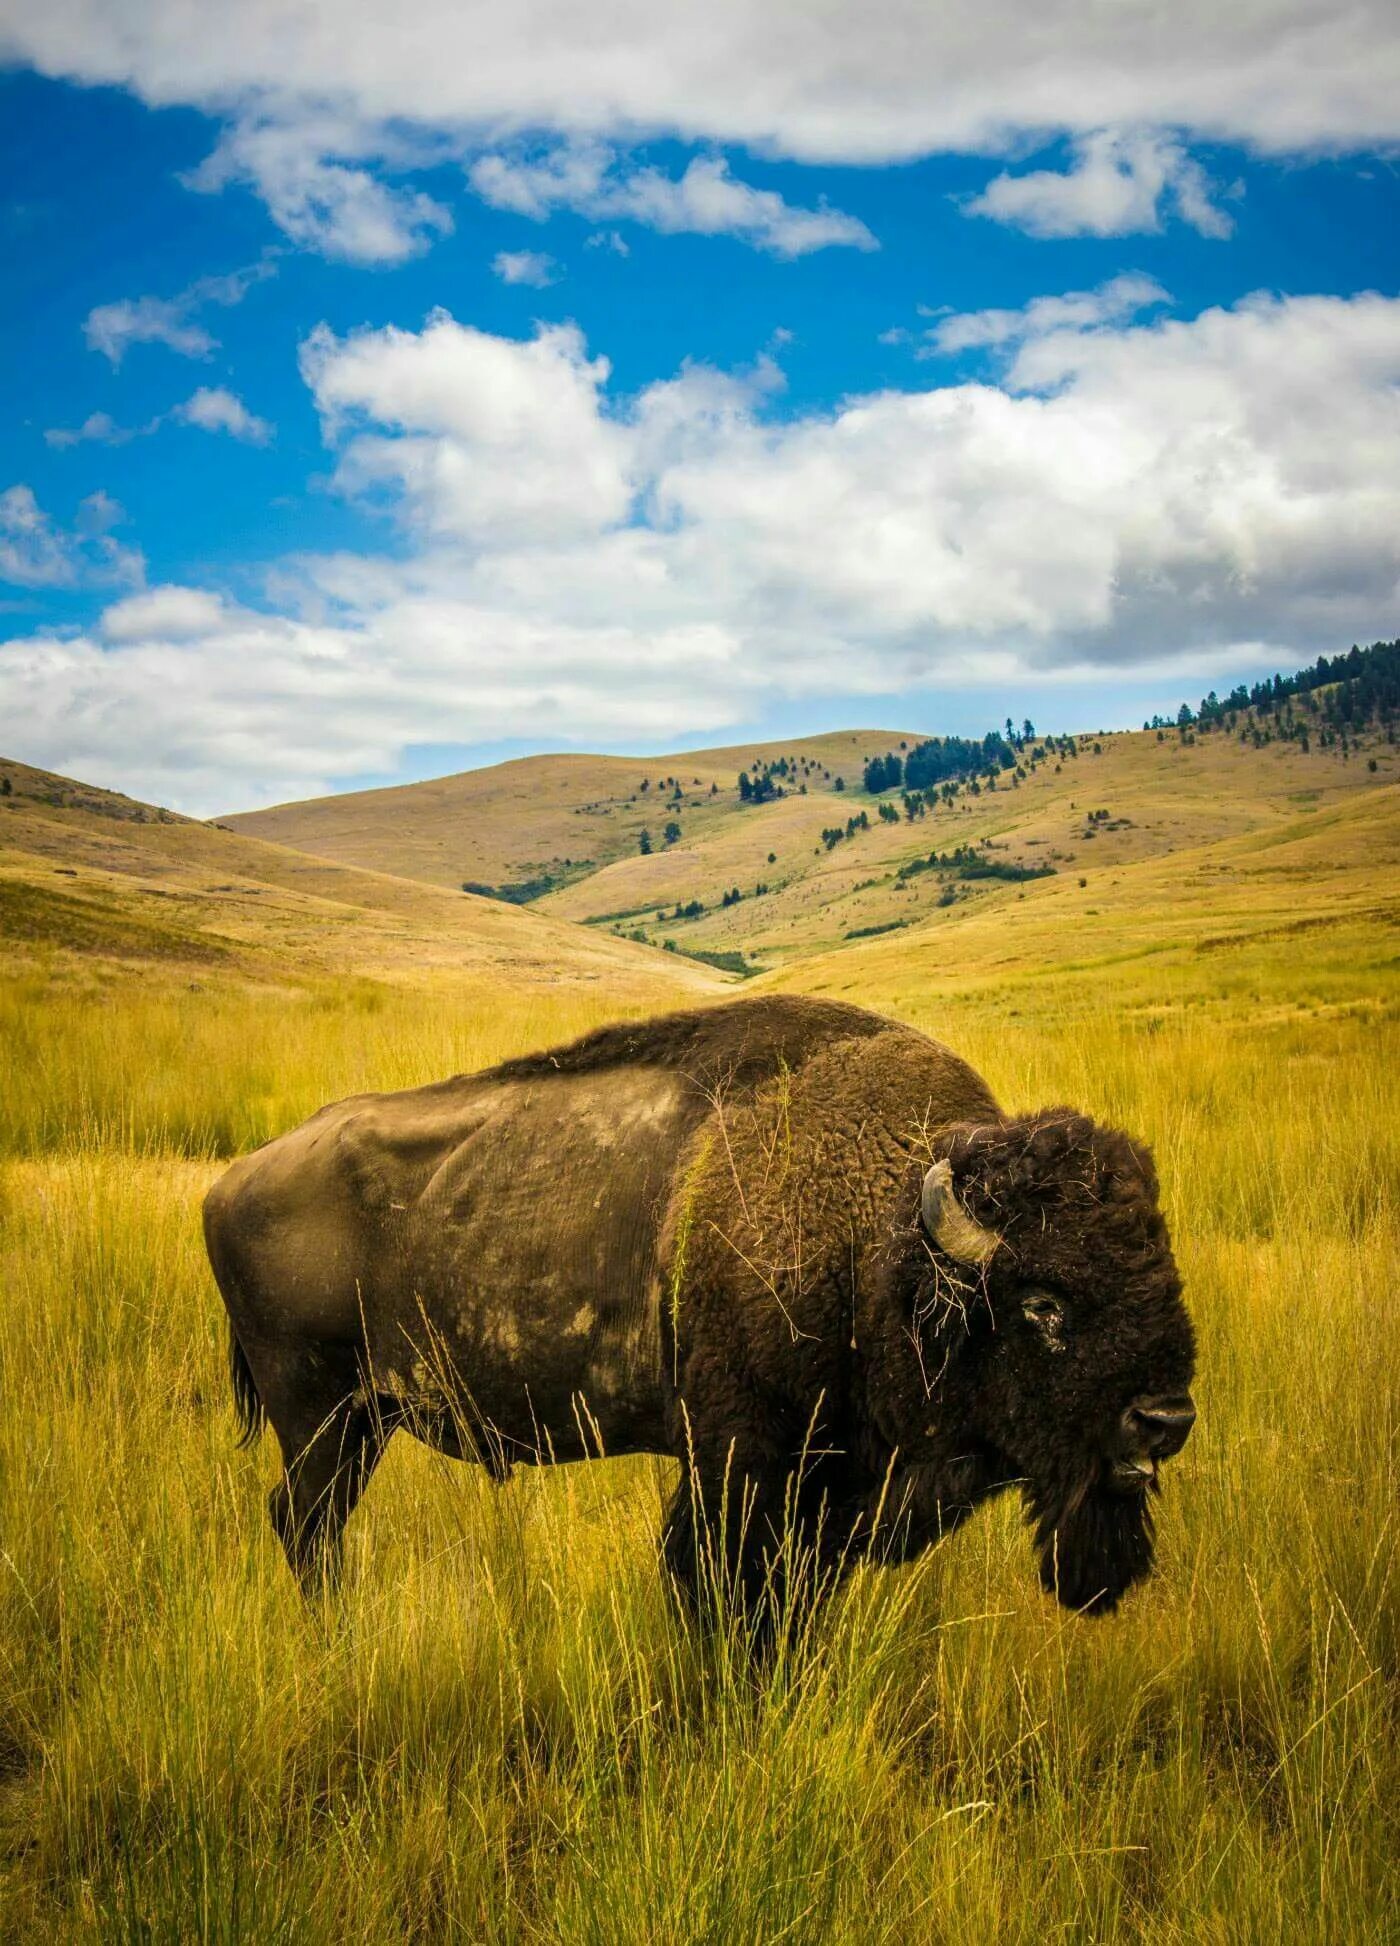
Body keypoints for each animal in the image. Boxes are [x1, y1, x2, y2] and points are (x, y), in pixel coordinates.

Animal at [202, 996, 1199, 1619]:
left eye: (1163, 1273)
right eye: (1042, 1303)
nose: (1165, 1419)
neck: (881, 1245)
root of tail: (230, 1183)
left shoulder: (826, 1496)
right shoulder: (737, 1466)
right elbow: (724, 1595)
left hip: (364, 1422)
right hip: (323, 1419)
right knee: (306, 1525)